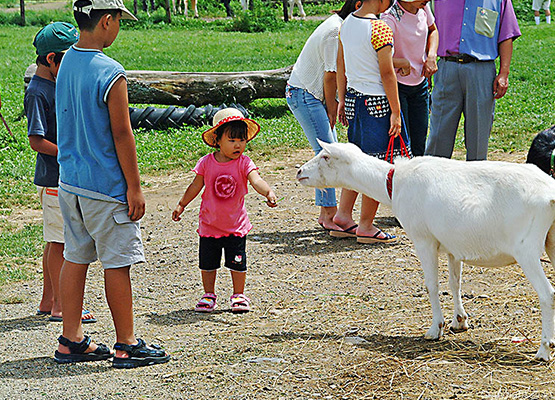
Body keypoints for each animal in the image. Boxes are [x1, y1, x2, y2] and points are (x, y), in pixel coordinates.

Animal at [300, 141, 555, 362]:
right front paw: (459, 321)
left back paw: (543, 350)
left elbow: (432, 285)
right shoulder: (453, 246)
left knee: (547, 294)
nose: (299, 171)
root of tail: (550, 193)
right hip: (551, 241)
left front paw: (435, 329)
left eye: (325, 157)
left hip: (526, 249)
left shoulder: (424, 240)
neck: (394, 183)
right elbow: (454, 283)